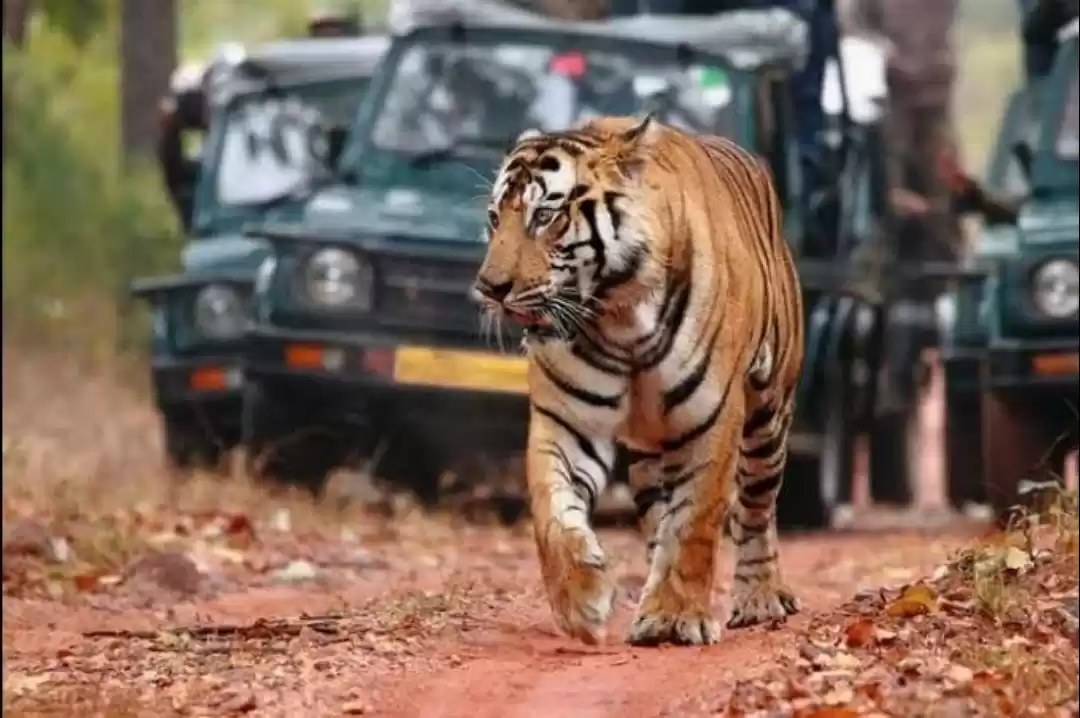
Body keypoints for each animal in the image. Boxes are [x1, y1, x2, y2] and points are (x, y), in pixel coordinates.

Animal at [472, 114, 805, 646]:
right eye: (493, 218)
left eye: (545, 216)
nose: (489, 288)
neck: (618, 316)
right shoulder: (566, 421)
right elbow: (552, 511)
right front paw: (582, 601)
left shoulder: (712, 419)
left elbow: (695, 522)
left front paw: (677, 616)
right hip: (651, 453)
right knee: (657, 517)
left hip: (768, 416)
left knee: (756, 508)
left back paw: (760, 598)